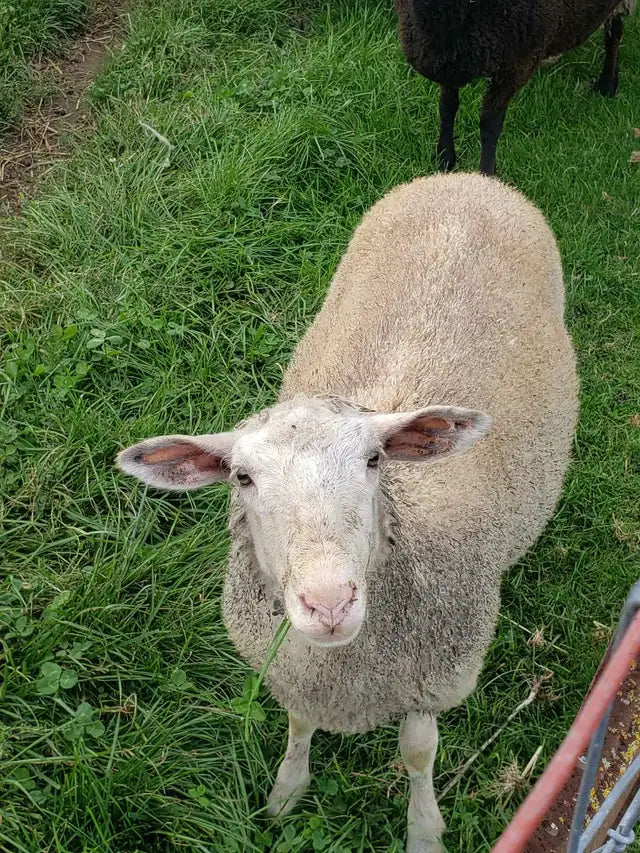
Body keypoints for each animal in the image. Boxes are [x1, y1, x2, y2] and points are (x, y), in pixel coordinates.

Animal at [117, 173, 579, 852]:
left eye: (373, 460)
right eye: (243, 477)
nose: (330, 604)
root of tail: (469, 179)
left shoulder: (432, 679)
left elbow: (418, 754)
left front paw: (423, 830)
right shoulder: (292, 669)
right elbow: (297, 724)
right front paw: (286, 792)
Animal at [395, 0, 637, 175]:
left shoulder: (517, 66)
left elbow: (489, 125)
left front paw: (486, 175)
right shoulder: (448, 60)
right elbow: (447, 107)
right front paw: (444, 158)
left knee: (615, 30)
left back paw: (607, 83)